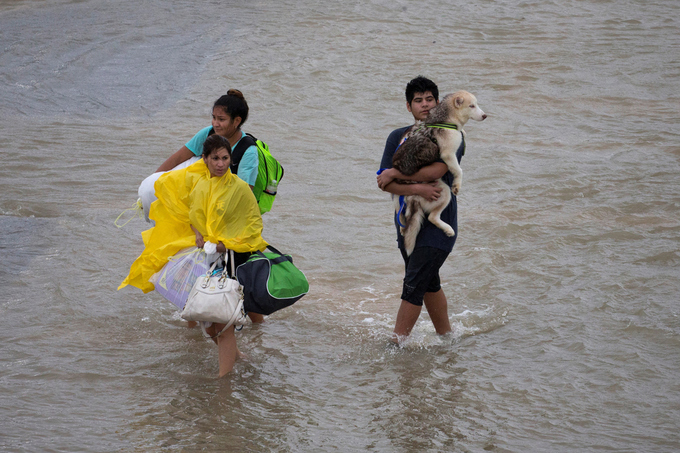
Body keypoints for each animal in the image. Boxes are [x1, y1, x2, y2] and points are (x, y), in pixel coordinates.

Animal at [390, 90, 486, 256]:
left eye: (476, 104)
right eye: (472, 106)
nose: (485, 115)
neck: (445, 118)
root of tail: (411, 196)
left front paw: (463, 131)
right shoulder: (448, 155)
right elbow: (459, 170)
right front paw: (457, 184)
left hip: (397, 196)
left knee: (399, 215)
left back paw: (402, 228)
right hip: (444, 192)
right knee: (432, 218)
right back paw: (448, 229)